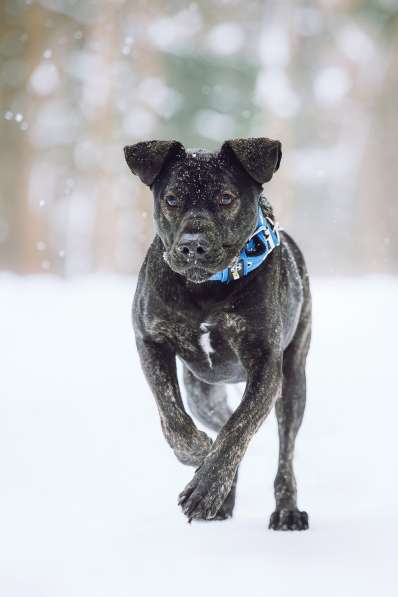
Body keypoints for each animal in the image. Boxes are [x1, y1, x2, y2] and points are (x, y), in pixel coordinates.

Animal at [124, 137, 310, 528]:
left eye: (226, 197)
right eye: (172, 198)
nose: (193, 244)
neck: (207, 289)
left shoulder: (266, 364)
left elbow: (238, 428)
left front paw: (206, 490)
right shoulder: (150, 340)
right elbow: (173, 416)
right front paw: (196, 452)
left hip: (293, 381)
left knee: (283, 450)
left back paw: (285, 510)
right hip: (203, 394)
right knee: (218, 419)